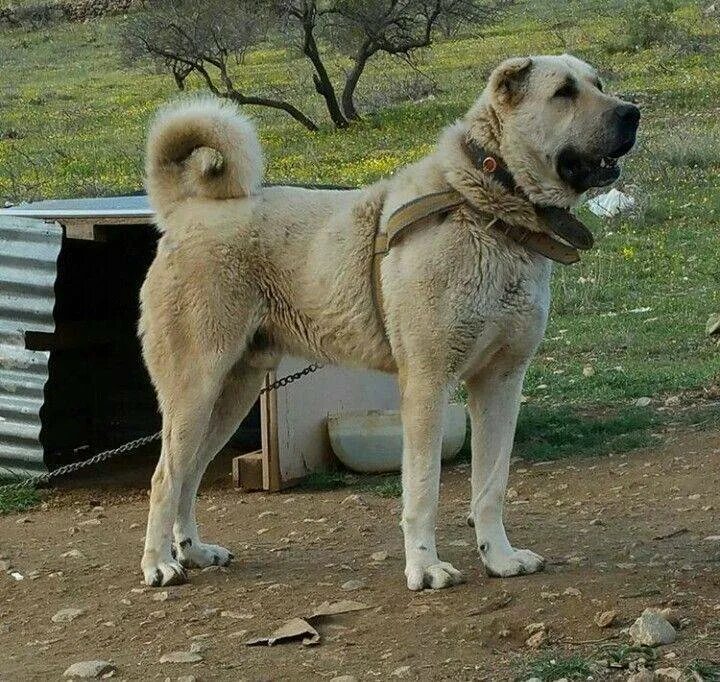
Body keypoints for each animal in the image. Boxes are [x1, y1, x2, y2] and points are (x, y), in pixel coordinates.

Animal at [138, 53, 640, 588]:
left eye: (597, 83)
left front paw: (500, 557)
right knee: (165, 476)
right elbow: (423, 489)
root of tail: (184, 211)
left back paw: (193, 551)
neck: (487, 208)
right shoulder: (427, 383)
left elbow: (491, 486)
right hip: (196, 388)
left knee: (189, 474)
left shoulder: (501, 383)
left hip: (232, 394)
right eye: (564, 92)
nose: (633, 113)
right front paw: (425, 567)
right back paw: (159, 564)